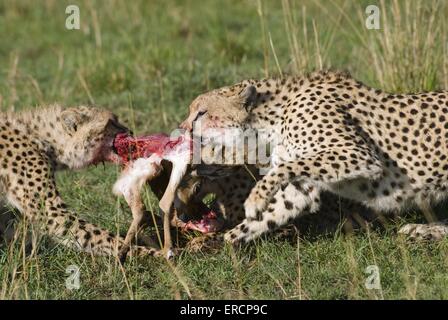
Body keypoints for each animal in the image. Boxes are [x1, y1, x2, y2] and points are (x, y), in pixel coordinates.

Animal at [181, 70, 448, 242]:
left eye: (201, 113)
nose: (182, 130)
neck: (271, 118)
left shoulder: (359, 154)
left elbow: (281, 170)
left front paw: (255, 199)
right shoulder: (300, 188)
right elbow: (274, 212)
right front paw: (230, 238)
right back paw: (424, 231)